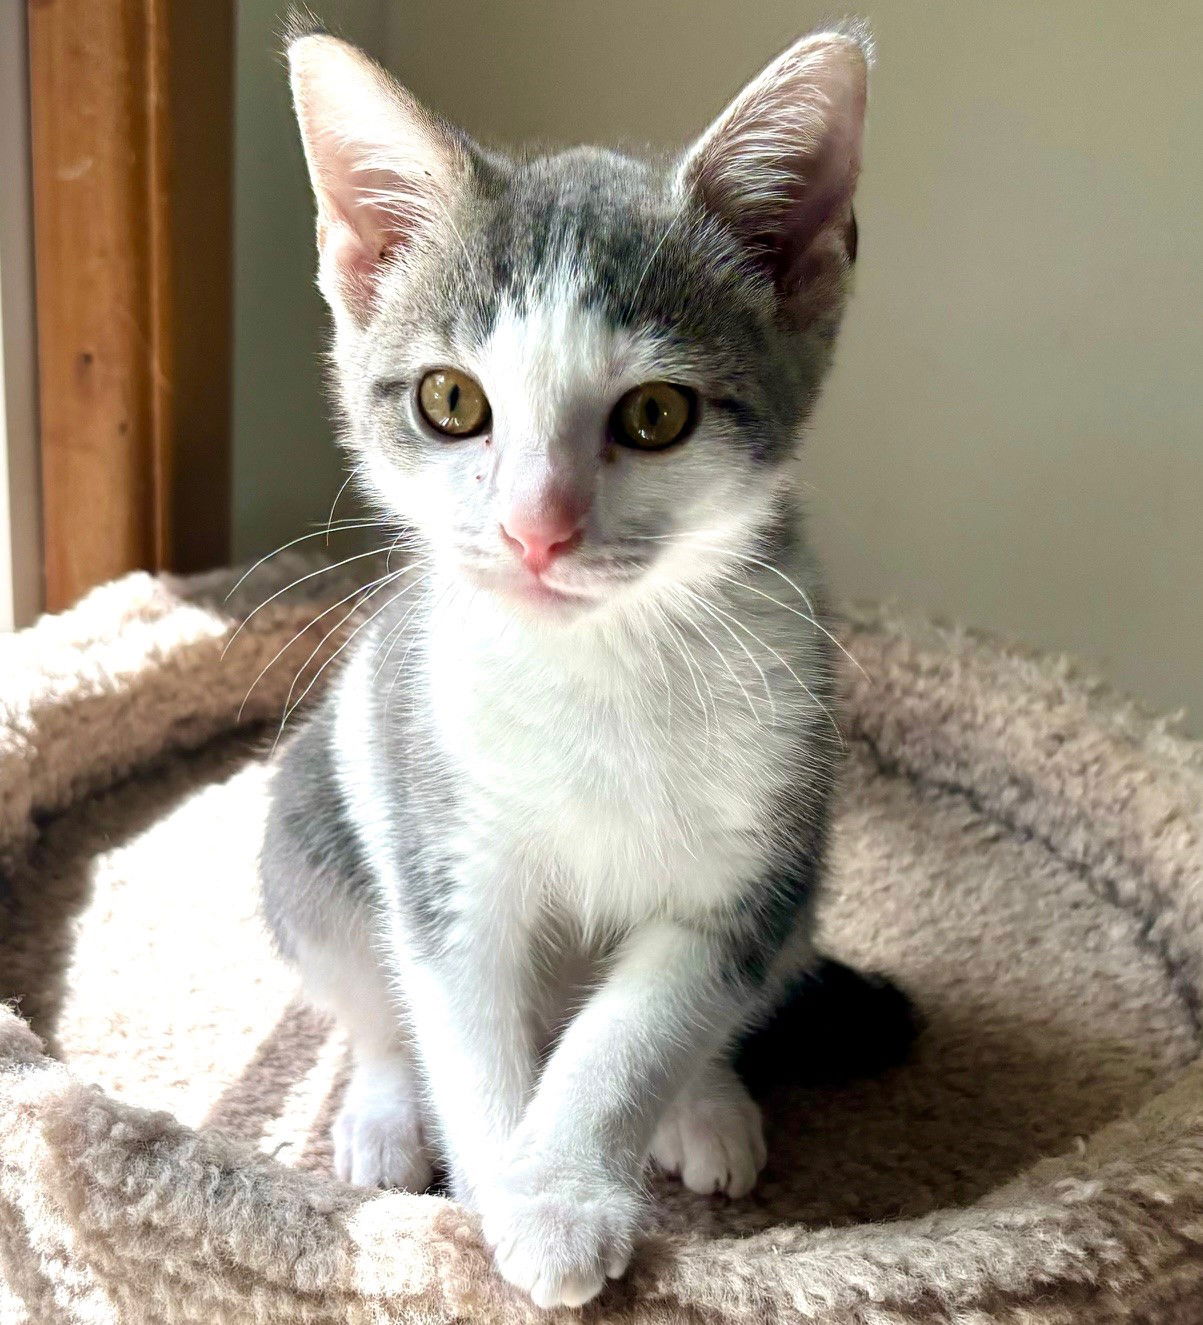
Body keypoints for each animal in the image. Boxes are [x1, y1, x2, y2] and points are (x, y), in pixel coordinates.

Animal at [263, 20, 895, 1314]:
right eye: (451, 399)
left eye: (655, 415)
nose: (534, 529)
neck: (599, 664)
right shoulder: (441, 835)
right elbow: (462, 1023)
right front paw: (509, 1200)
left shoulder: (758, 852)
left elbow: (645, 1021)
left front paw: (563, 1186)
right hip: (313, 816)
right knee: (371, 994)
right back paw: (384, 1114)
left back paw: (709, 1103)